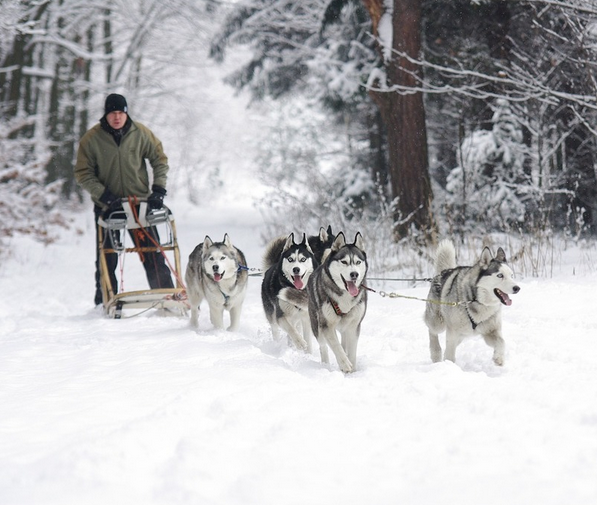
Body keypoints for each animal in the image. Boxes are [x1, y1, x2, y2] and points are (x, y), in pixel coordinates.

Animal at [308, 231, 368, 370]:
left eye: (358, 262)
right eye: (344, 262)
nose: (354, 274)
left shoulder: (354, 326)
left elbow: (351, 351)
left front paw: (352, 369)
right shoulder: (327, 325)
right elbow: (336, 346)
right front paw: (345, 364)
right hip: (317, 326)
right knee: (323, 346)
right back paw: (326, 364)